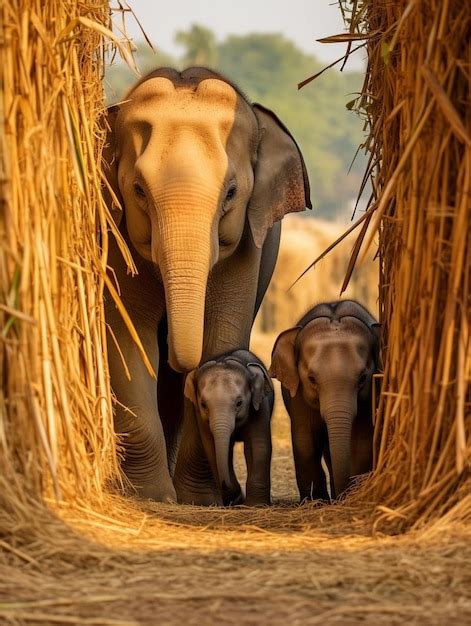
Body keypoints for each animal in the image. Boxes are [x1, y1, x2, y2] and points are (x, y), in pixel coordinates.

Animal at [183, 348, 272, 504]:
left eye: (239, 403)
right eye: (203, 405)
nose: (239, 496)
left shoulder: (260, 406)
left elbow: (258, 445)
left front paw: (256, 505)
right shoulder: (200, 415)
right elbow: (211, 446)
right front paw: (235, 499)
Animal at [270, 300, 380, 500]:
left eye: (363, 378)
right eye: (311, 379)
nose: (342, 496)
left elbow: (363, 439)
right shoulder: (298, 395)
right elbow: (305, 440)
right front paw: (317, 501)